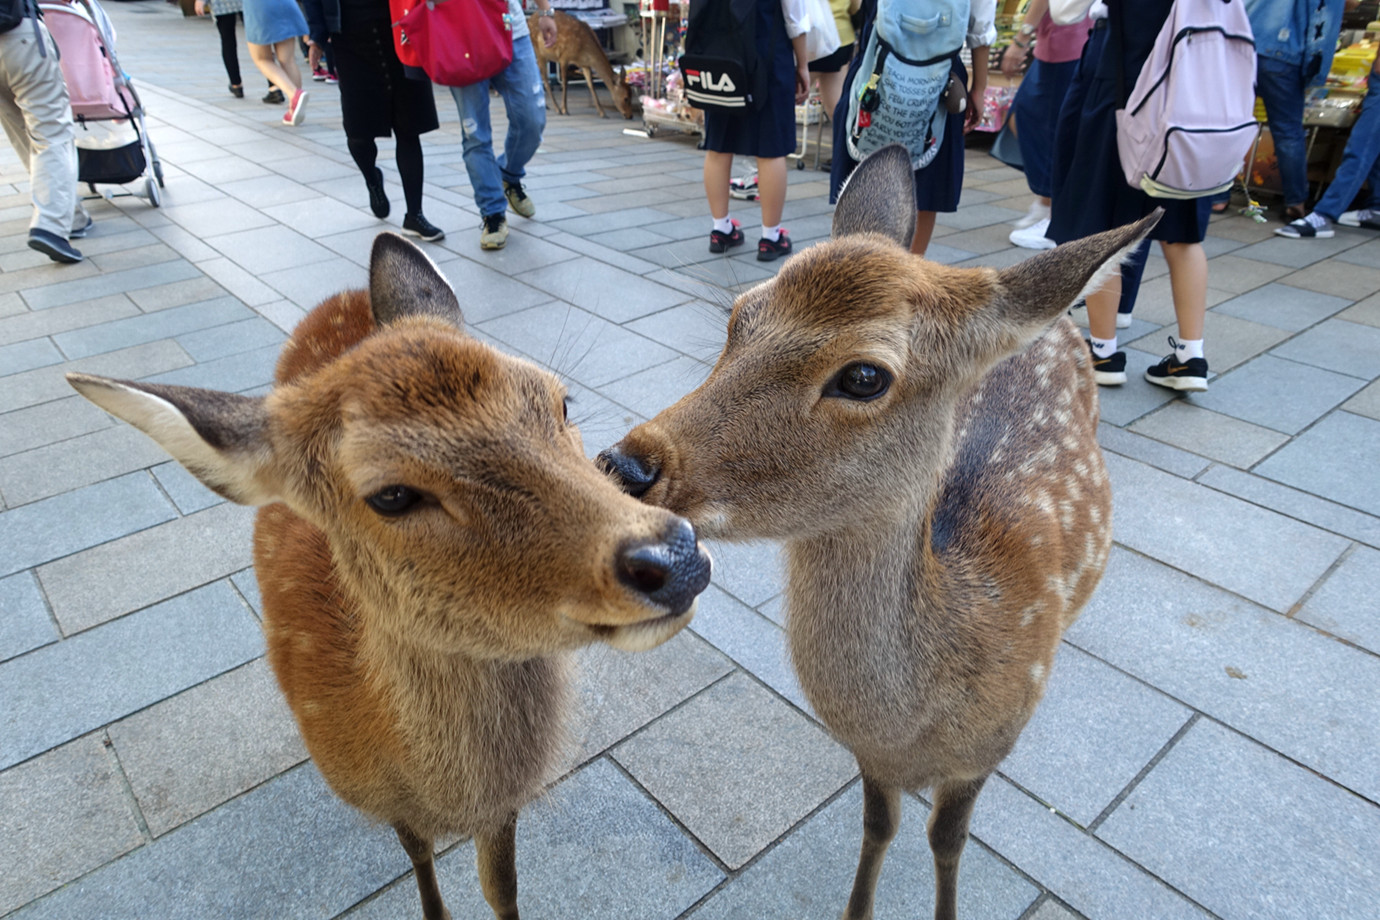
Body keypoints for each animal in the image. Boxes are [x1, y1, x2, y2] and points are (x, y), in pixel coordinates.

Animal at [64, 231, 712, 920]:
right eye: (392, 495)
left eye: (562, 401)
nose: (675, 556)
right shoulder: (377, 797)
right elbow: (419, 854)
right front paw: (434, 910)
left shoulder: (504, 804)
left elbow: (502, 886)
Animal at [601, 147, 1153, 915]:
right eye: (739, 315)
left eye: (864, 376)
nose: (621, 463)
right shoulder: (871, 758)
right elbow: (879, 825)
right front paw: (857, 906)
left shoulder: (984, 754)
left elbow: (947, 841)